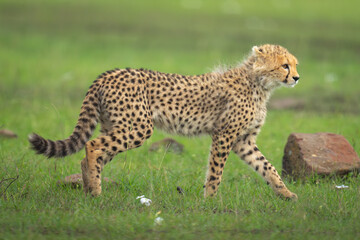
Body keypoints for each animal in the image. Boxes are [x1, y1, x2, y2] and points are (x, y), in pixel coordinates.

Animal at [29, 44, 300, 200]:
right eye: (285, 65)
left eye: (295, 65)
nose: (297, 78)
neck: (260, 83)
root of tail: (109, 73)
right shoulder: (224, 135)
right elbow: (216, 171)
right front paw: (210, 200)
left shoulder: (243, 140)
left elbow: (267, 166)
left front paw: (286, 193)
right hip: (138, 127)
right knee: (93, 146)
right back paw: (96, 192)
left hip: (115, 125)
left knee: (90, 155)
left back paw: (88, 192)